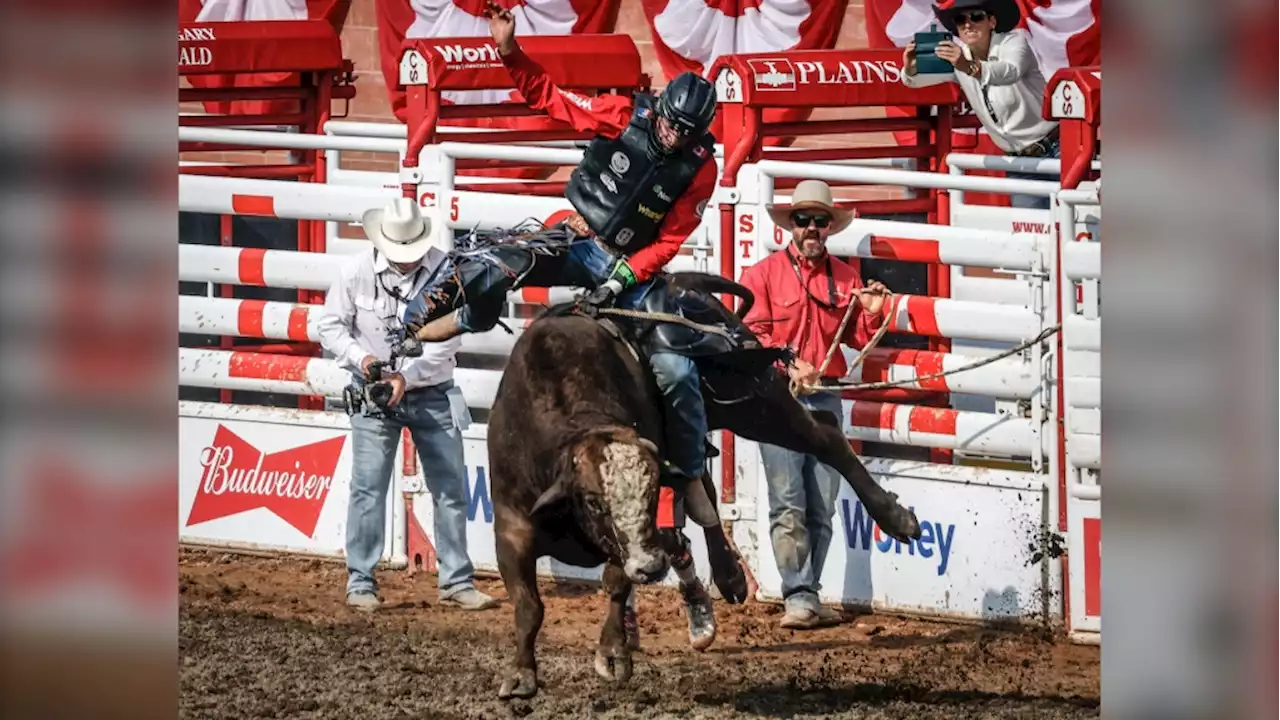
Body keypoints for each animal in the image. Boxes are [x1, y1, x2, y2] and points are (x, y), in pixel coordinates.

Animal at [460, 269, 921, 696]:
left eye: (648, 496)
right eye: (593, 502)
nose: (650, 568)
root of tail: (683, 283)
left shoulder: (634, 539)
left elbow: (616, 582)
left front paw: (613, 652)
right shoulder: (512, 526)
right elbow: (529, 605)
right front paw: (521, 674)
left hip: (750, 399)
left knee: (823, 435)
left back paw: (895, 519)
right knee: (706, 496)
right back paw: (725, 579)